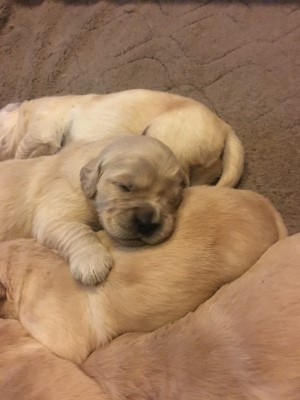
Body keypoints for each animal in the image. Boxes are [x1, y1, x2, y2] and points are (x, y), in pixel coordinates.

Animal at [0, 134, 188, 284]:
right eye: (123, 186)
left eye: (173, 199)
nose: (146, 223)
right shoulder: (55, 215)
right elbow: (78, 230)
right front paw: (92, 262)